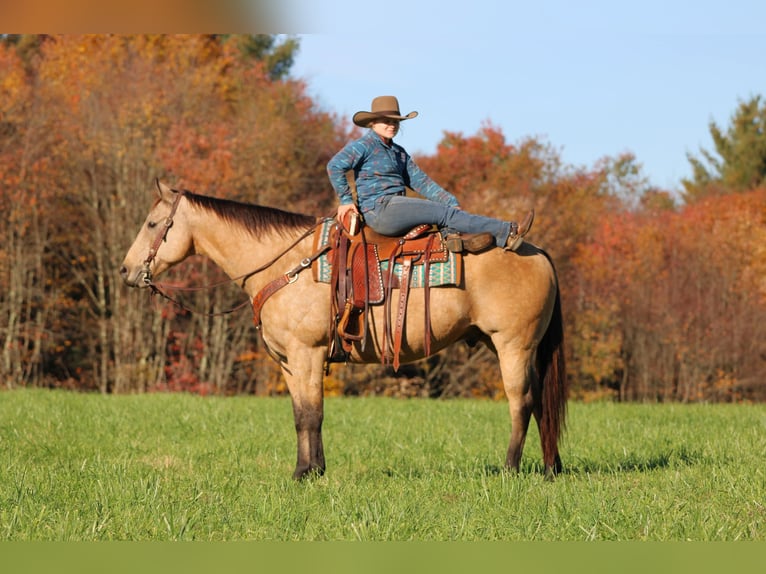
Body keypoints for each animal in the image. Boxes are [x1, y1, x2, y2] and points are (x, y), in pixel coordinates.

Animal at [120, 181, 568, 480]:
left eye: (153, 223)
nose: (126, 271)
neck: (286, 264)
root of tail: (537, 251)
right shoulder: (289, 362)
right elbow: (301, 414)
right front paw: (309, 469)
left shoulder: (308, 352)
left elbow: (312, 414)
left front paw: (307, 474)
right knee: (540, 404)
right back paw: (551, 468)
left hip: (513, 345)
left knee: (522, 401)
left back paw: (510, 468)